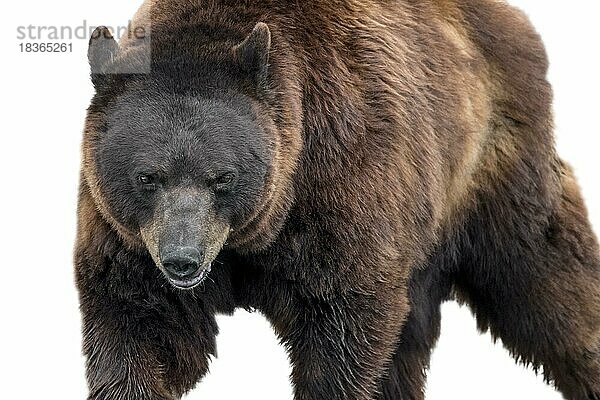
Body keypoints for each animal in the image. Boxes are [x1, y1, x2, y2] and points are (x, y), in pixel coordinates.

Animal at [76, 0, 600, 398]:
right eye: (148, 177)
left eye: (221, 177)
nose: (182, 259)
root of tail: (515, 21)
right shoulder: (127, 236)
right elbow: (141, 325)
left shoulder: (343, 184)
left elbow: (345, 324)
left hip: (488, 173)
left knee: (546, 280)